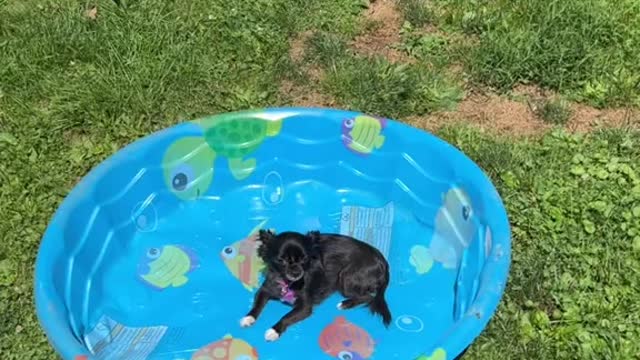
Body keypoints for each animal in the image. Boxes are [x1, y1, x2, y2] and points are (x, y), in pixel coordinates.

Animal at [239, 229, 390, 342]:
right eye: (281, 260)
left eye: (305, 259)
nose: (296, 271)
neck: (288, 282)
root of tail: (381, 259)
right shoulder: (264, 290)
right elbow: (257, 305)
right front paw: (249, 317)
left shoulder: (305, 307)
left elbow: (286, 317)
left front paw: (274, 330)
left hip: (345, 278)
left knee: (369, 296)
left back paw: (346, 303)